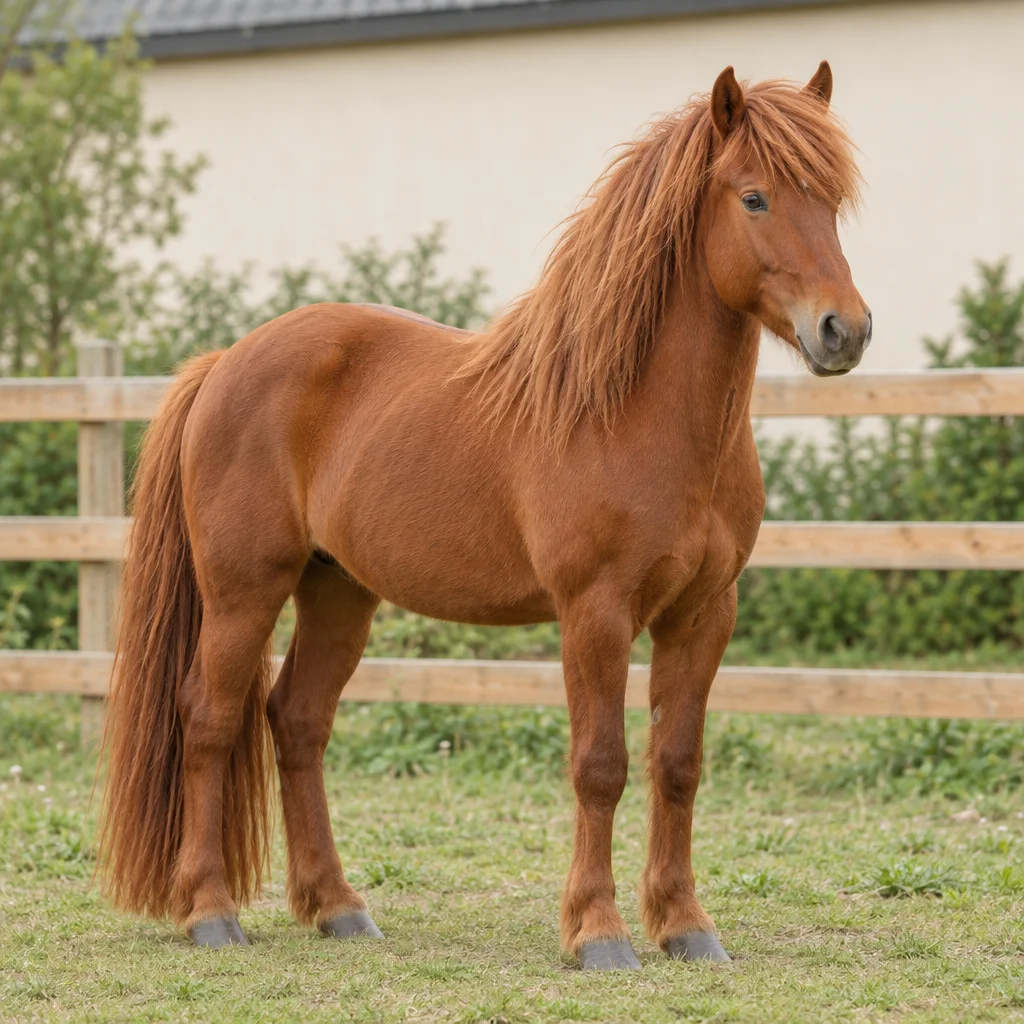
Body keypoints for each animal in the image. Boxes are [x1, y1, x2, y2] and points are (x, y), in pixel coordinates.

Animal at [97, 62, 870, 970]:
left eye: (832, 200)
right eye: (754, 198)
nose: (844, 330)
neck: (634, 413)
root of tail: (225, 362)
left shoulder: (703, 615)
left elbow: (677, 764)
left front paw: (685, 926)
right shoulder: (595, 613)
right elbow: (600, 764)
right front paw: (598, 932)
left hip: (338, 592)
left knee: (298, 722)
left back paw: (338, 907)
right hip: (242, 592)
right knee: (210, 721)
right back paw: (212, 912)